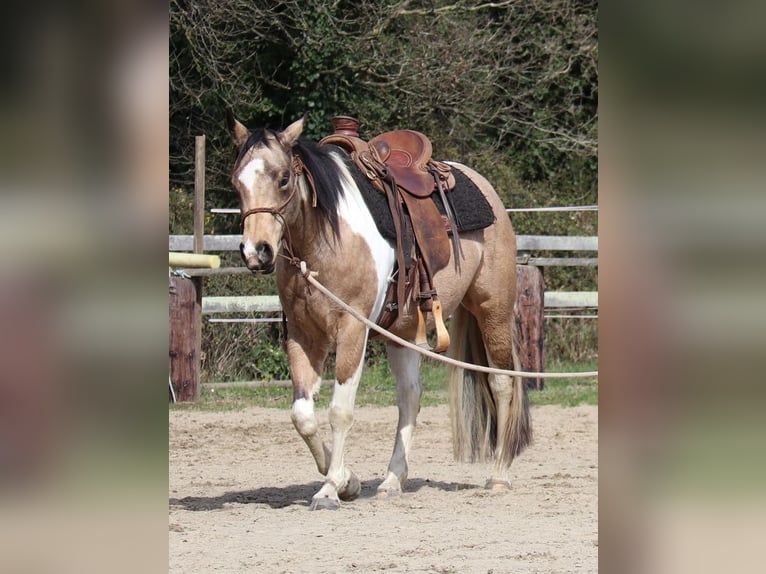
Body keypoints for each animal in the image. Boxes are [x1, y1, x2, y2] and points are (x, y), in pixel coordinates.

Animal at [225, 115, 532, 510]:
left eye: (283, 179)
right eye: (237, 182)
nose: (257, 252)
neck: (324, 238)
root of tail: (482, 184)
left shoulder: (352, 329)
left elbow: (339, 411)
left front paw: (330, 488)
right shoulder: (302, 335)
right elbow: (302, 416)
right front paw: (348, 481)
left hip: (493, 311)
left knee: (501, 382)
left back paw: (498, 475)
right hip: (404, 331)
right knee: (410, 396)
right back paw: (392, 480)